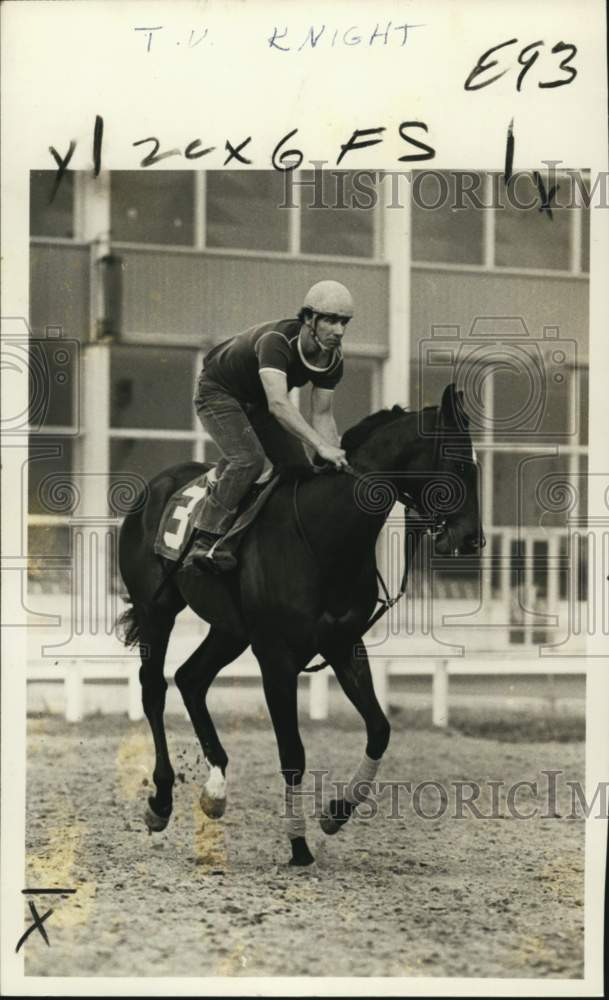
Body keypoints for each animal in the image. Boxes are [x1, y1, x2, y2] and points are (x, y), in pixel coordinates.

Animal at [116, 382, 482, 868]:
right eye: (459, 463)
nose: (472, 538)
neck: (325, 535)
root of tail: (157, 486)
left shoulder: (344, 644)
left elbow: (380, 729)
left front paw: (336, 812)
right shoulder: (276, 656)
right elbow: (292, 751)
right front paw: (298, 844)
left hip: (229, 630)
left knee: (191, 679)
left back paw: (216, 789)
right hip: (157, 608)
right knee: (154, 688)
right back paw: (160, 801)